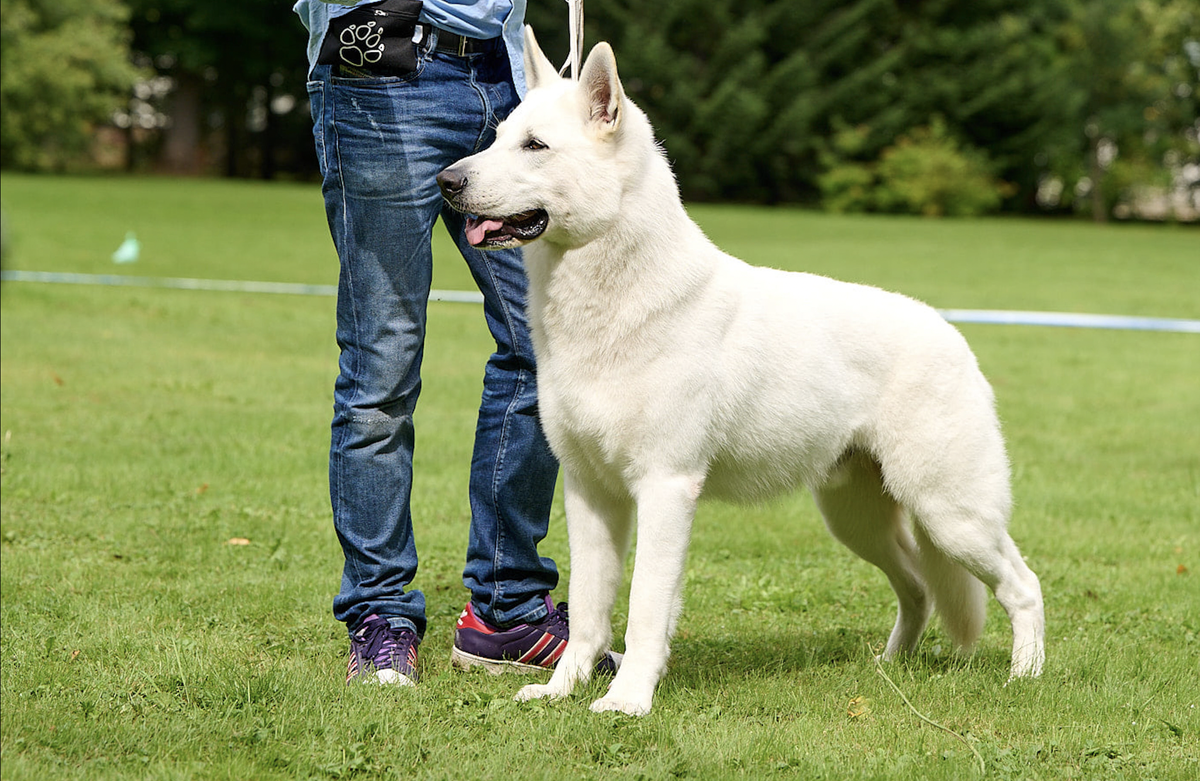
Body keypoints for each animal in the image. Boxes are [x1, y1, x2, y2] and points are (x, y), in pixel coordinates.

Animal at [436, 29, 1046, 715]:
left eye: (534, 146)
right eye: (498, 138)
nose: (446, 181)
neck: (614, 303)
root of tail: (951, 334)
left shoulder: (666, 489)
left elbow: (645, 608)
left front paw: (628, 701)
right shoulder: (590, 494)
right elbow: (591, 614)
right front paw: (563, 690)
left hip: (951, 513)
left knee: (1023, 585)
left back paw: (1025, 676)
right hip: (858, 519)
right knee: (917, 587)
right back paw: (890, 667)